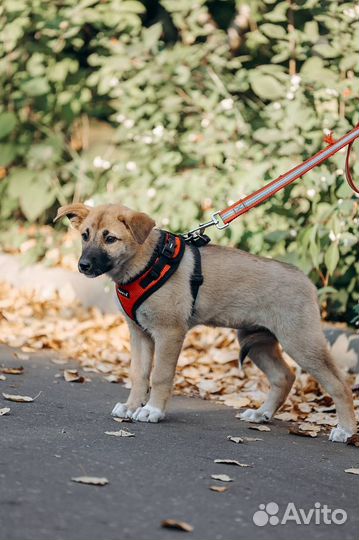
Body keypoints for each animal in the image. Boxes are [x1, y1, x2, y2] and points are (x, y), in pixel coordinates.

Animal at [54, 202, 358, 442]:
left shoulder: (169, 332)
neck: (146, 262)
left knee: (339, 383)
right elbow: (138, 374)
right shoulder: (139, 334)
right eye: (85, 236)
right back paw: (262, 414)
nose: (83, 266)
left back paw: (345, 430)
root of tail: (306, 280)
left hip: (300, 340)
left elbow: (160, 375)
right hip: (258, 341)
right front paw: (131, 407)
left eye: (110, 239)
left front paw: (152, 410)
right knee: (284, 376)